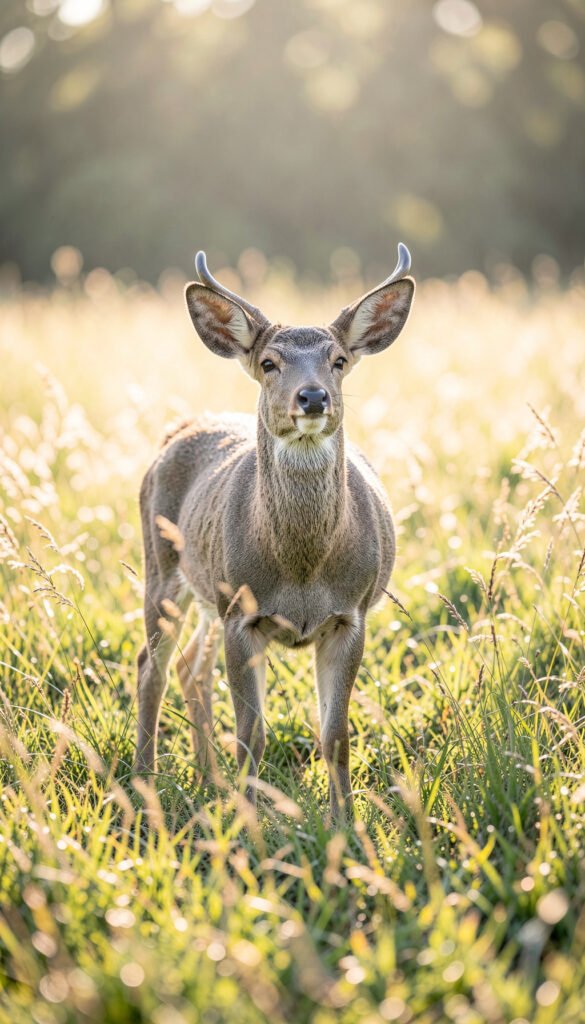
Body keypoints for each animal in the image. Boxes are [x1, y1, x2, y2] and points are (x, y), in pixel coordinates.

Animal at [134, 243, 415, 820]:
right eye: (269, 363)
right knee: (151, 666)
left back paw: (207, 777)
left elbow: (335, 736)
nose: (312, 397)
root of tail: (178, 429)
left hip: (207, 593)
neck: (303, 569)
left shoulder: (350, 614)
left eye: (339, 360)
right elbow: (252, 735)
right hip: (163, 568)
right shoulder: (243, 613)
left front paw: (344, 824)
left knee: (191, 667)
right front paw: (247, 823)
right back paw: (144, 782)